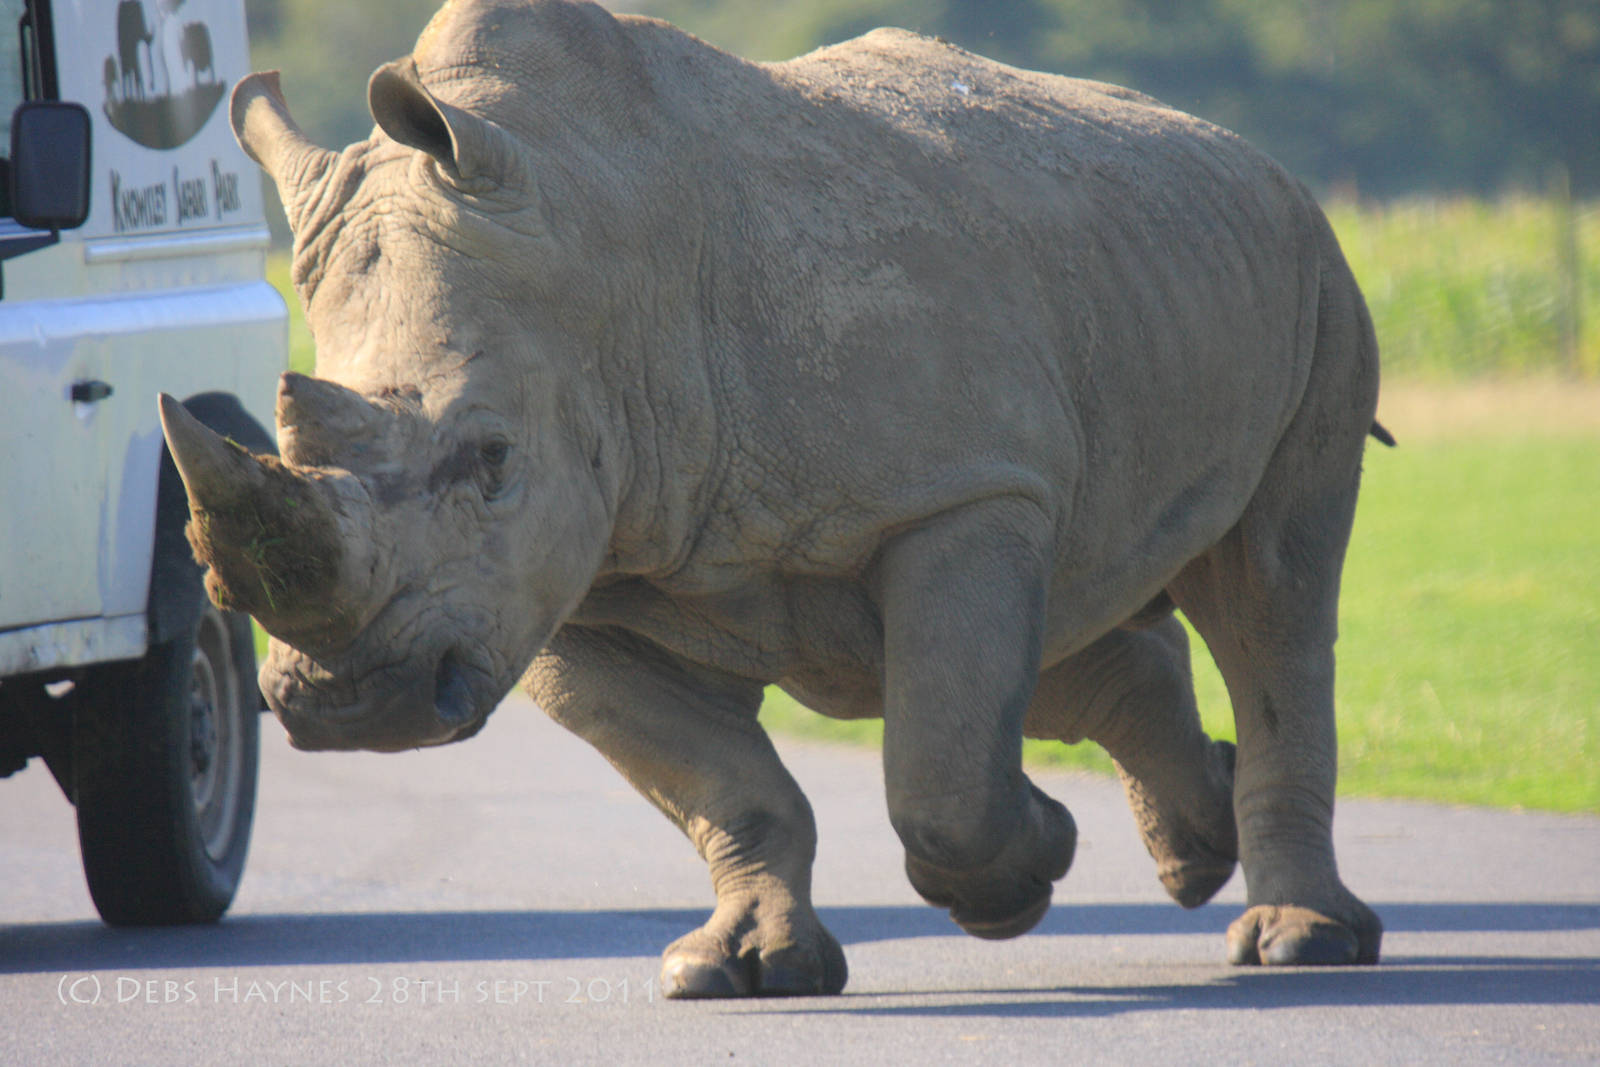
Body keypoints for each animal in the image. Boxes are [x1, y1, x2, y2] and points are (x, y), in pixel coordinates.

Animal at [158, 0, 1385, 996]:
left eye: (492, 457)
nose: (352, 702)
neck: (608, 265)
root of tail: (1250, 153)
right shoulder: (560, 576)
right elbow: (724, 782)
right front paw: (743, 968)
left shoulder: (958, 494)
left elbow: (939, 772)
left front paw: (1020, 876)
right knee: (1069, 623)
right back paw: (1197, 845)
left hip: (1314, 275)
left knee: (1273, 598)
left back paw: (1297, 940)